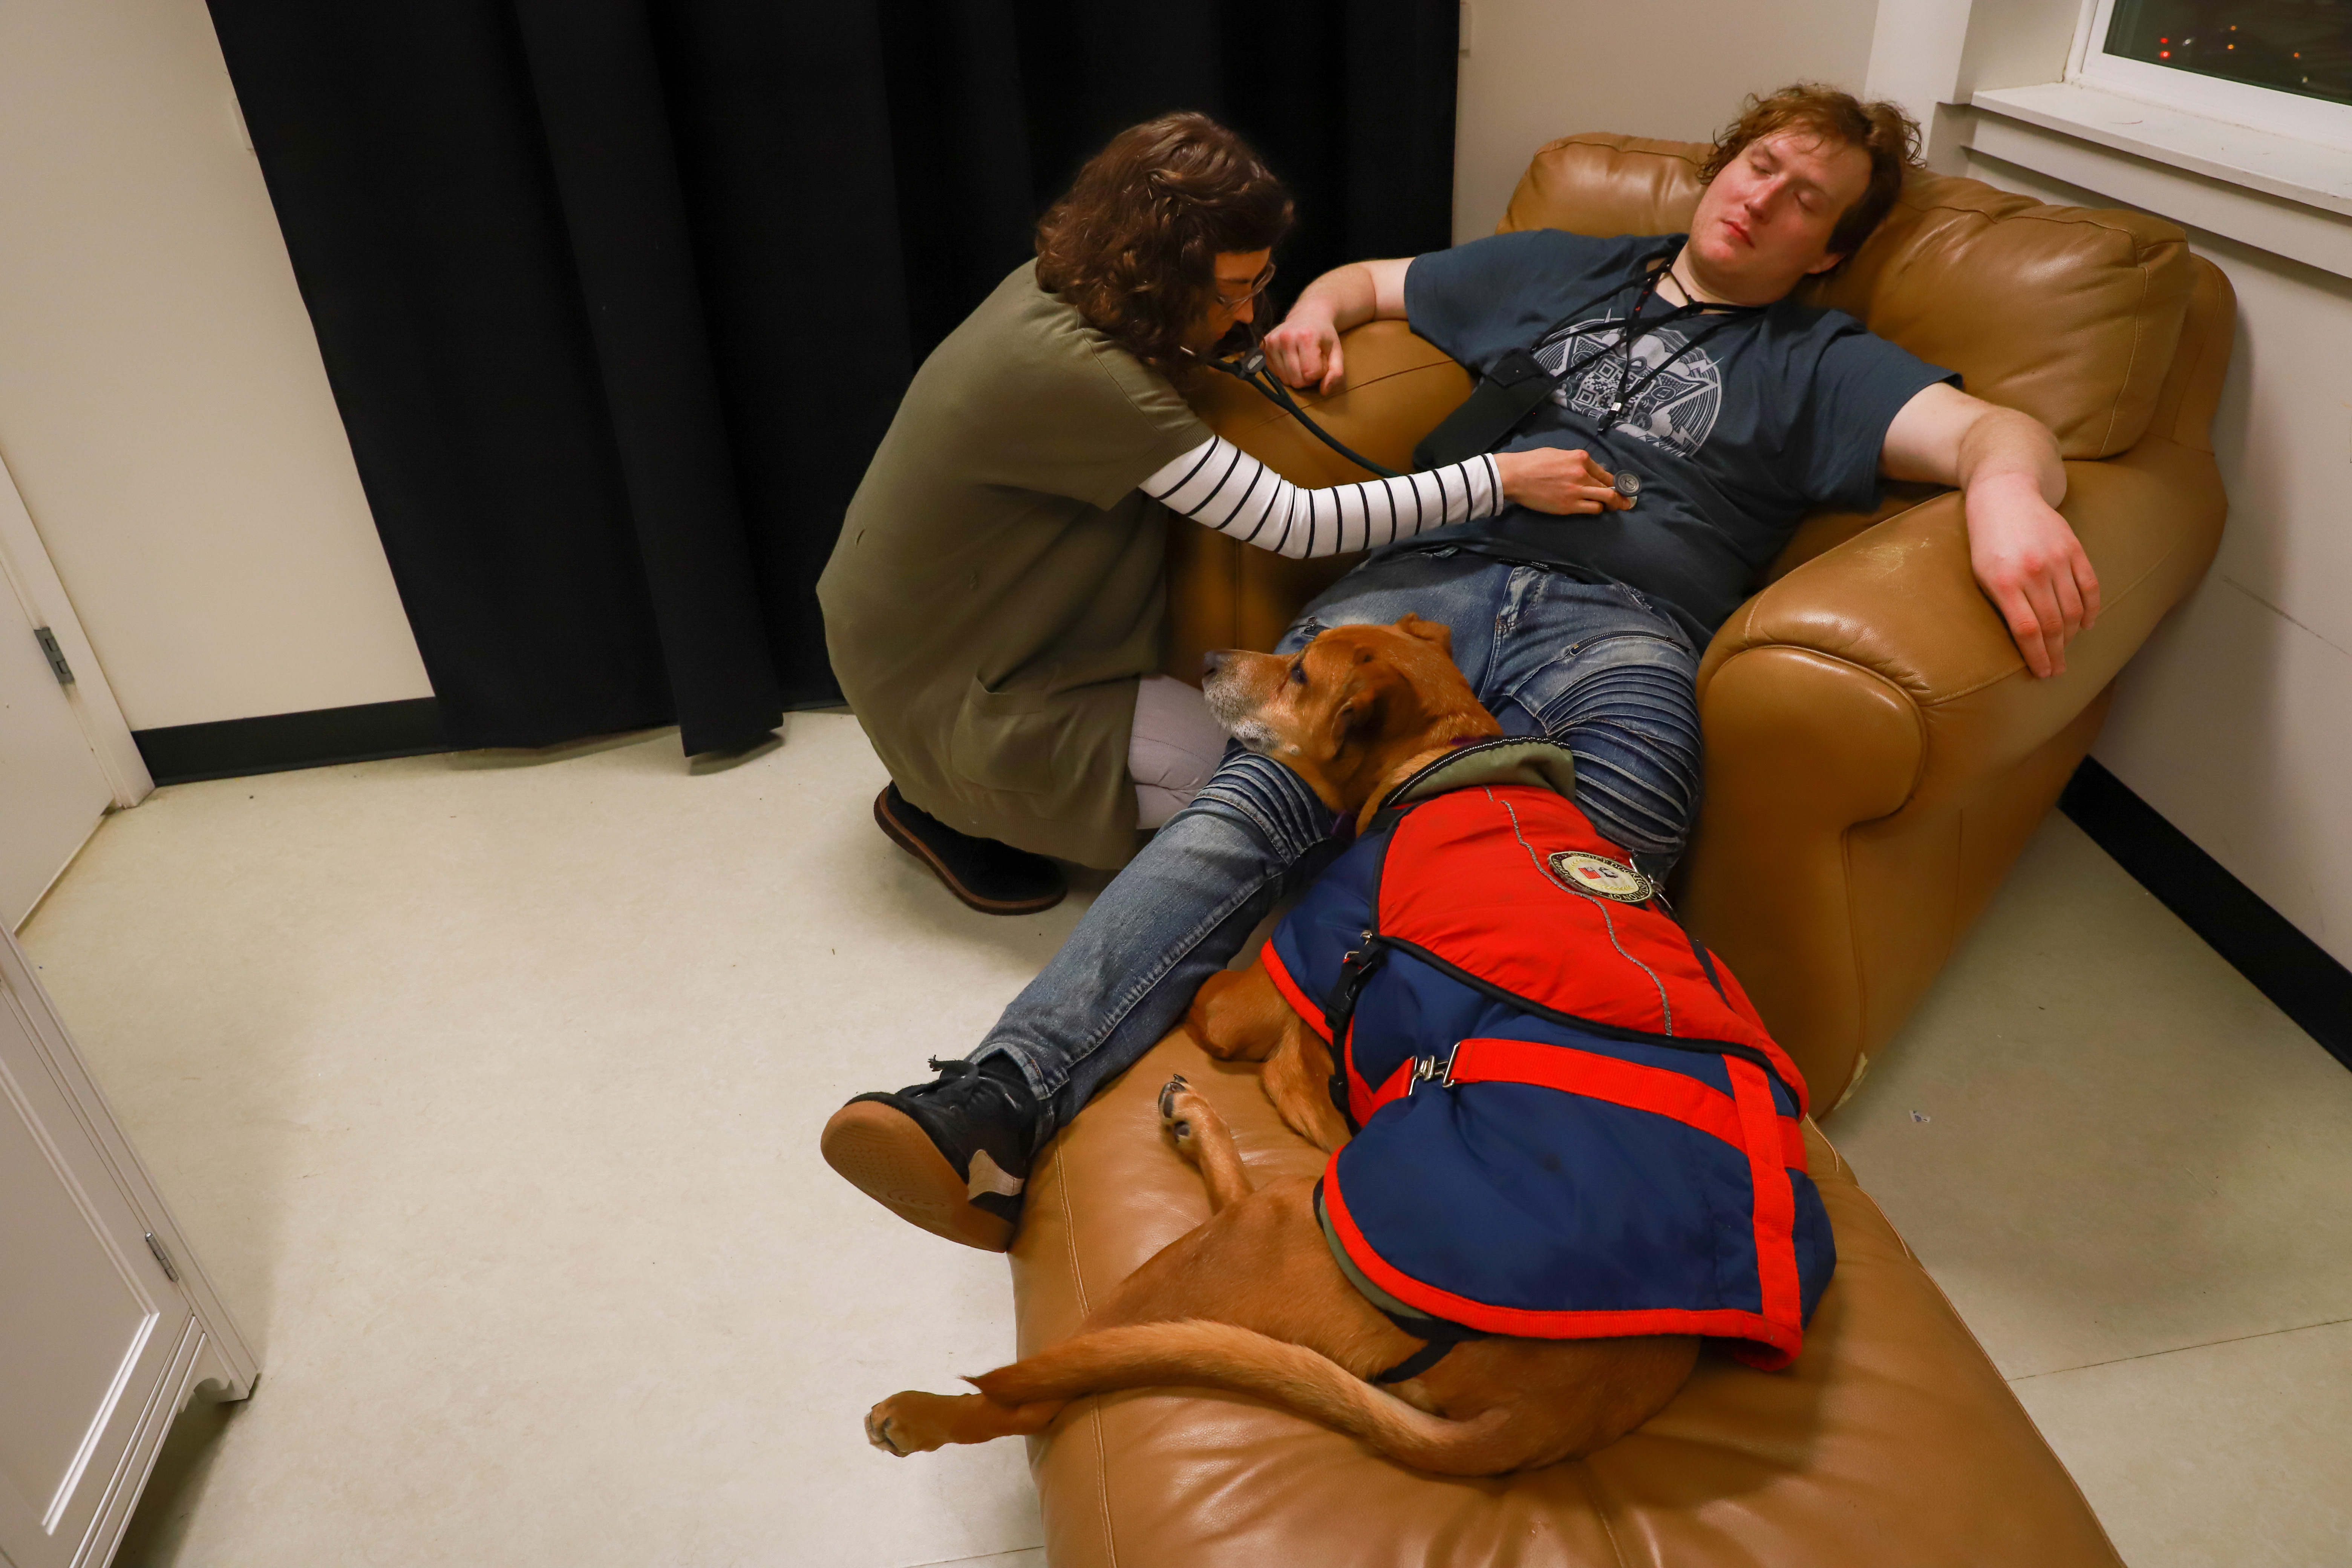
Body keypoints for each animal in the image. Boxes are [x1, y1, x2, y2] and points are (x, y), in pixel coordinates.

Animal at [856, 620, 1703, 1476]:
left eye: (1299, 674)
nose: (1205, 661)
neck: (1442, 760)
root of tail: (1547, 1418)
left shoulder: (1261, 992)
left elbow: (1206, 993)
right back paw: (1193, 1118)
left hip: (1233, 1249)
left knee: (1051, 1387)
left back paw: (923, 1415)